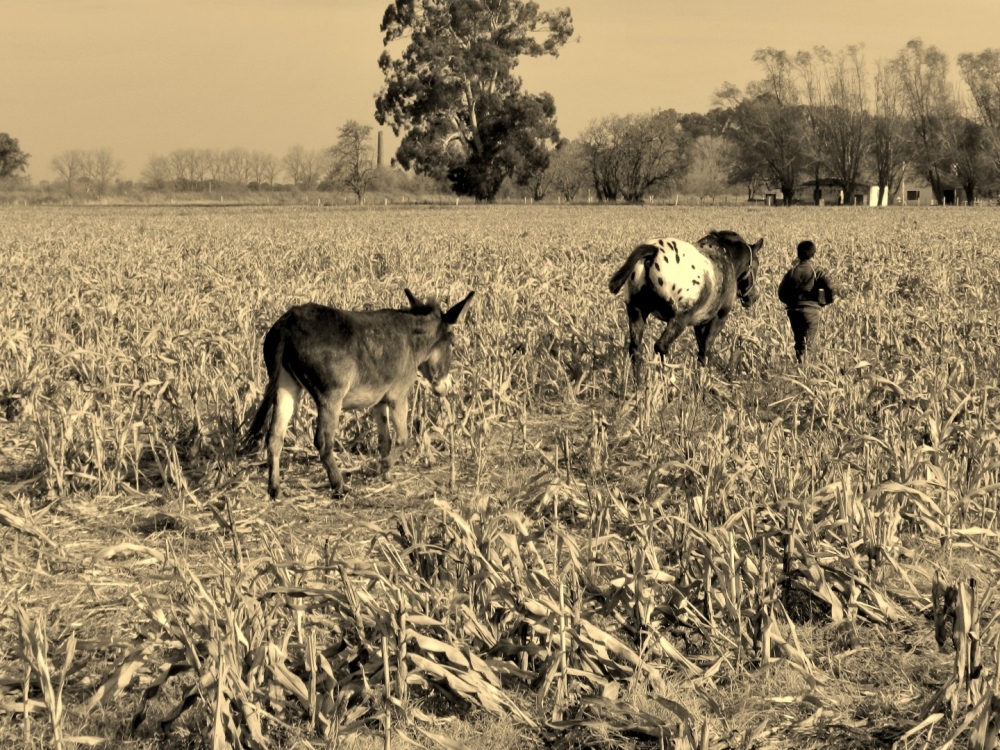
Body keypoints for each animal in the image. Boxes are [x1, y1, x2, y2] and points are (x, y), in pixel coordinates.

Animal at [244, 290, 474, 502]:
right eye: (453, 343)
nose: (445, 387)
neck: (413, 338)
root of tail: (288, 324)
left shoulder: (379, 402)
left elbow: (385, 440)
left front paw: (387, 476)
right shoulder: (398, 396)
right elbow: (403, 438)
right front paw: (380, 467)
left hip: (286, 386)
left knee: (274, 436)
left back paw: (275, 490)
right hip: (330, 398)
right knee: (323, 441)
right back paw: (339, 486)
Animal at [604, 231, 760, 384]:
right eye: (756, 265)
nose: (754, 297)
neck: (725, 255)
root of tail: (653, 252)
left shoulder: (699, 323)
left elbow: (701, 350)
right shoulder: (718, 318)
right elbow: (705, 350)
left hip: (636, 312)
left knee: (636, 350)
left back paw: (639, 386)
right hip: (679, 319)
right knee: (661, 346)